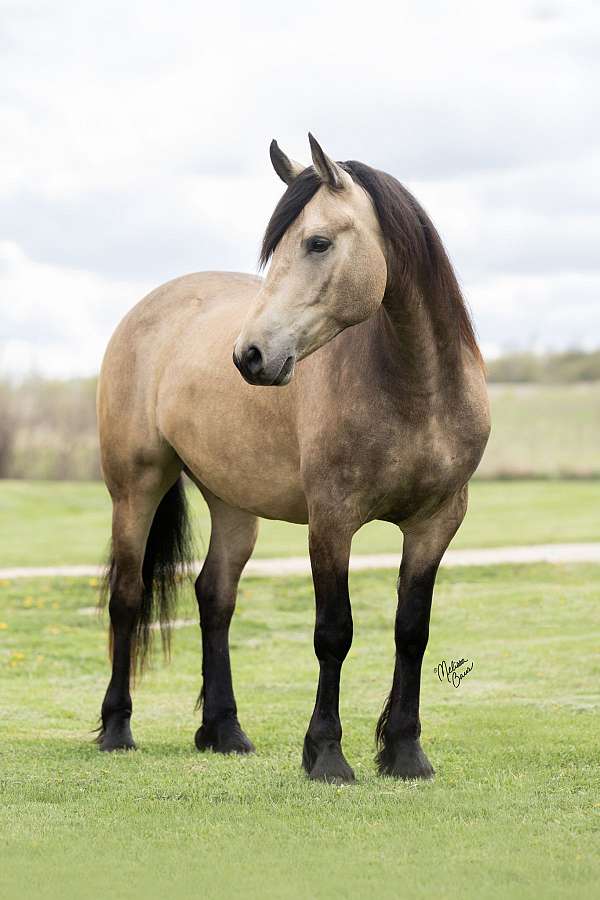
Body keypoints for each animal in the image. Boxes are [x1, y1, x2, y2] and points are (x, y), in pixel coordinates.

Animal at [96, 133, 490, 783]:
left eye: (318, 242)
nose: (250, 355)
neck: (417, 390)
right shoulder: (332, 521)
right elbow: (334, 633)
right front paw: (326, 755)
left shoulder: (437, 523)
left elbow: (412, 631)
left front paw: (405, 752)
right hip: (136, 487)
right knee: (127, 597)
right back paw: (116, 729)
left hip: (232, 502)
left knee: (215, 597)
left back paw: (223, 731)